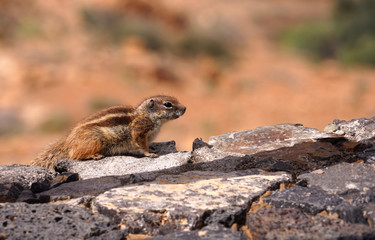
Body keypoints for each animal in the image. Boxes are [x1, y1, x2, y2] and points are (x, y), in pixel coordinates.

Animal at [32, 94, 187, 170]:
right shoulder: (139, 131)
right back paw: (94, 155)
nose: (185, 108)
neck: (146, 115)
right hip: (95, 140)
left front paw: (153, 147)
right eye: (168, 104)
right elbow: (141, 145)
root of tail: (68, 140)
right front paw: (149, 154)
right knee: (74, 155)